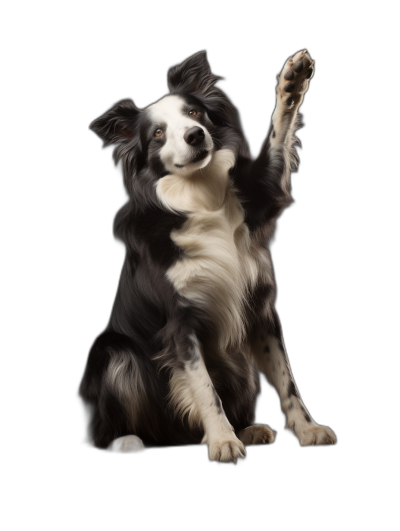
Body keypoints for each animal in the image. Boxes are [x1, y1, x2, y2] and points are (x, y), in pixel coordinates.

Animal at [79, 48, 336, 462]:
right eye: (157, 133)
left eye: (195, 113)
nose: (195, 134)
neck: (201, 194)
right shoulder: (180, 321)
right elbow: (203, 386)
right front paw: (221, 440)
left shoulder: (260, 307)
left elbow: (287, 380)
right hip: (114, 352)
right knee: (106, 421)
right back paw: (126, 439)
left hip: (239, 364)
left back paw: (251, 429)